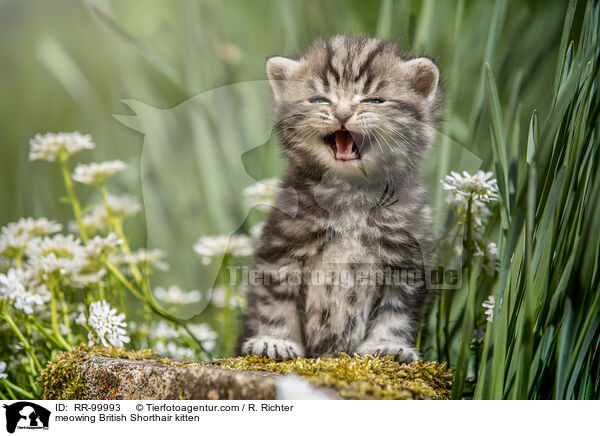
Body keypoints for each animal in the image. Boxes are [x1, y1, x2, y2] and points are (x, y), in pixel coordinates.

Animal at [238, 35, 440, 362]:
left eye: (374, 100)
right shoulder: (281, 248)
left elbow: (396, 311)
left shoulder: (407, 260)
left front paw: (389, 345)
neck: (351, 194)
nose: (343, 114)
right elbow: (275, 302)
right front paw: (274, 340)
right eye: (320, 100)